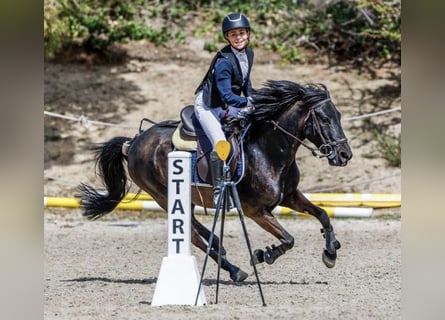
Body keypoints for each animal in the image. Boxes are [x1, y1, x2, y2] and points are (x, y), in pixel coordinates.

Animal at [79, 80, 350, 282]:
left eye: (338, 115)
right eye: (324, 119)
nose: (345, 155)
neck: (268, 150)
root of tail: (133, 141)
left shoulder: (290, 196)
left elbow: (323, 215)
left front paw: (330, 252)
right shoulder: (255, 210)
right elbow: (288, 239)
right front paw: (264, 255)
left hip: (185, 198)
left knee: (196, 227)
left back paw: (219, 246)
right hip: (164, 196)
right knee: (193, 235)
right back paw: (234, 269)